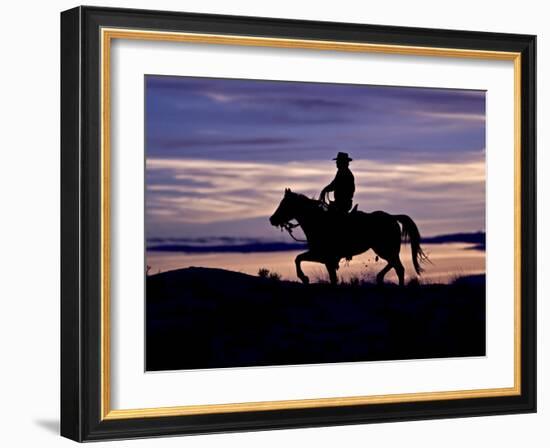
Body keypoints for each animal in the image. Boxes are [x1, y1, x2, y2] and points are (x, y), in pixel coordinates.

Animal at [270, 187, 430, 286]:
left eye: (284, 204)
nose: (272, 219)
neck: (319, 222)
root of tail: (392, 217)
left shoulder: (323, 256)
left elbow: (298, 259)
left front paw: (304, 278)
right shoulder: (325, 258)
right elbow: (327, 274)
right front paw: (305, 278)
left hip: (384, 249)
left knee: (398, 267)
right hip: (384, 250)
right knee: (395, 265)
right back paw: (379, 278)